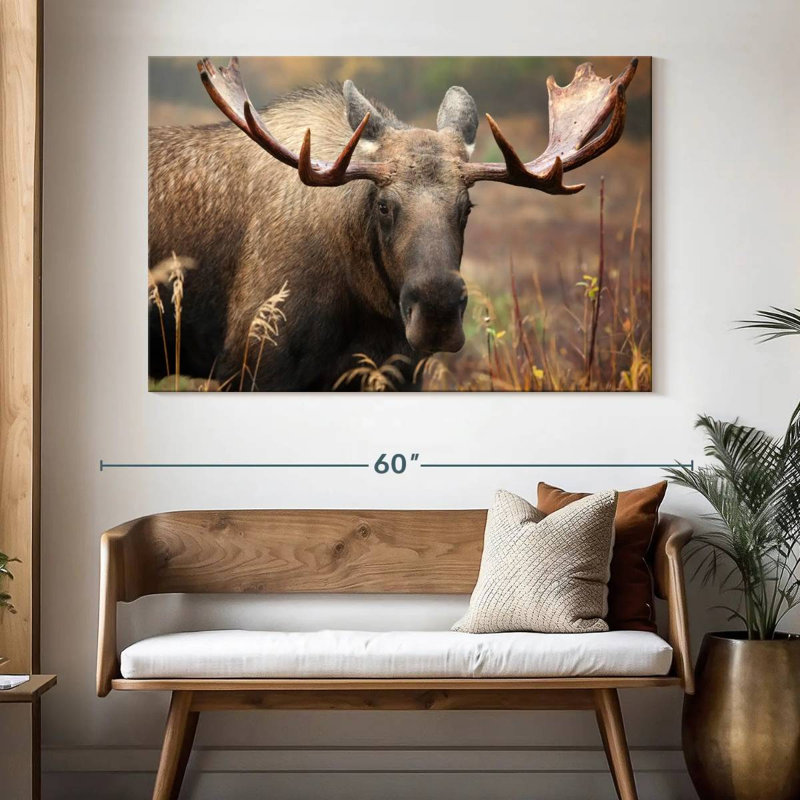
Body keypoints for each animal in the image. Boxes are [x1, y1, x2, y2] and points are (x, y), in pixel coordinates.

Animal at [148, 57, 638, 390]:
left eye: (467, 207)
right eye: (383, 204)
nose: (438, 310)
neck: (365, 305)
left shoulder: (397, 373)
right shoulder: (250, 364)